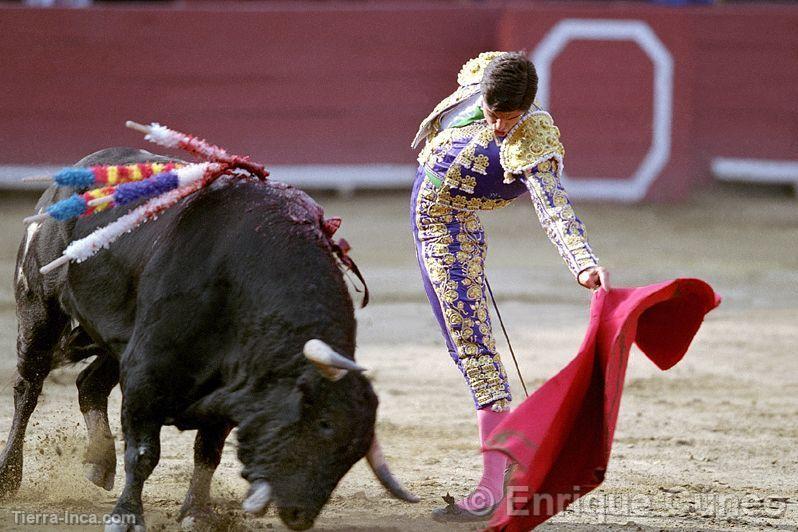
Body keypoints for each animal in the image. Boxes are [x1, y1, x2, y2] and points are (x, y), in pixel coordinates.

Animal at [0, 149, 416, 532]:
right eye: (324, 425)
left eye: (353, 452)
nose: (300, 515)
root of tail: (68, 177)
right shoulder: (146, 370)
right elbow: (144, 452)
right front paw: (126, 517)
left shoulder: (230, 382)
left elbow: (208, 451)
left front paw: (197, 514)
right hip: (41, 308)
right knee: (29, 388)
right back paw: (9, 476)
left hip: (111, 338)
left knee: (89, 384)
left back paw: (99, 464)